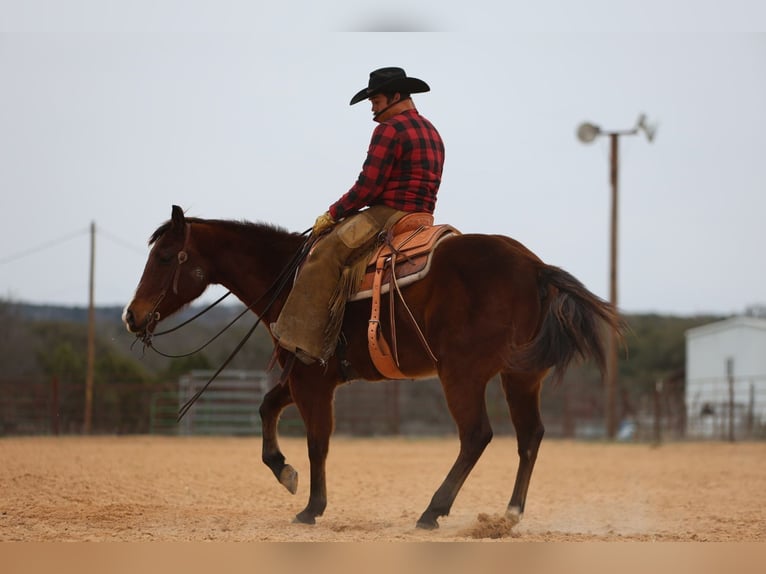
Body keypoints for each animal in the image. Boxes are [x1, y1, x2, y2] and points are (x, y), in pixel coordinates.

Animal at [121, 206, 624, 532]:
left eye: (164, 257)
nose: (131, 315)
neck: (288, 279)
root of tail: (535, 267)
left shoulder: (311, 379)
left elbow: (318, 441)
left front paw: (311, 507)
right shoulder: (305, 374)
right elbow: (266, 408)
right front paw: (284, 472)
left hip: (462, 375)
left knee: (477, 435)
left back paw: (432, 511)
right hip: (519, 377)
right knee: (529, 436)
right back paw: (509, 514)